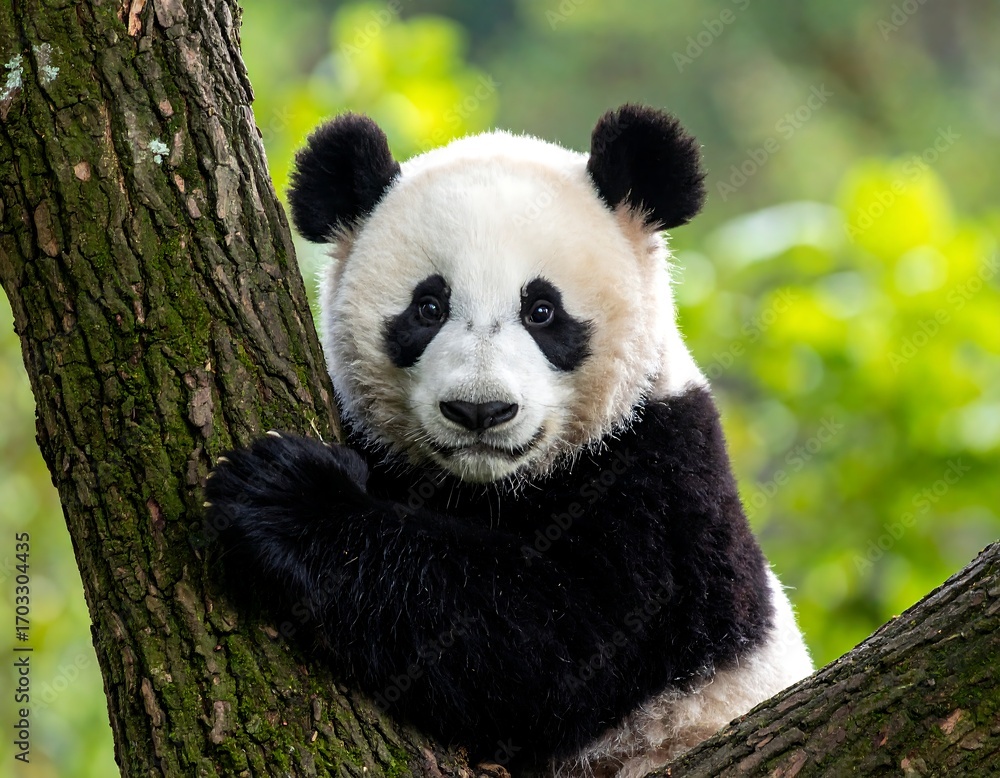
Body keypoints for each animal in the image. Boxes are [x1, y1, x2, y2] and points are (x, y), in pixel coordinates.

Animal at [206, 104, 813, 777]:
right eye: (428, 306)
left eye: (542, 310)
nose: (479, 410)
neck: (489, 487)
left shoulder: (665, 483)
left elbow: (557, 640)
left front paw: (291, 498)